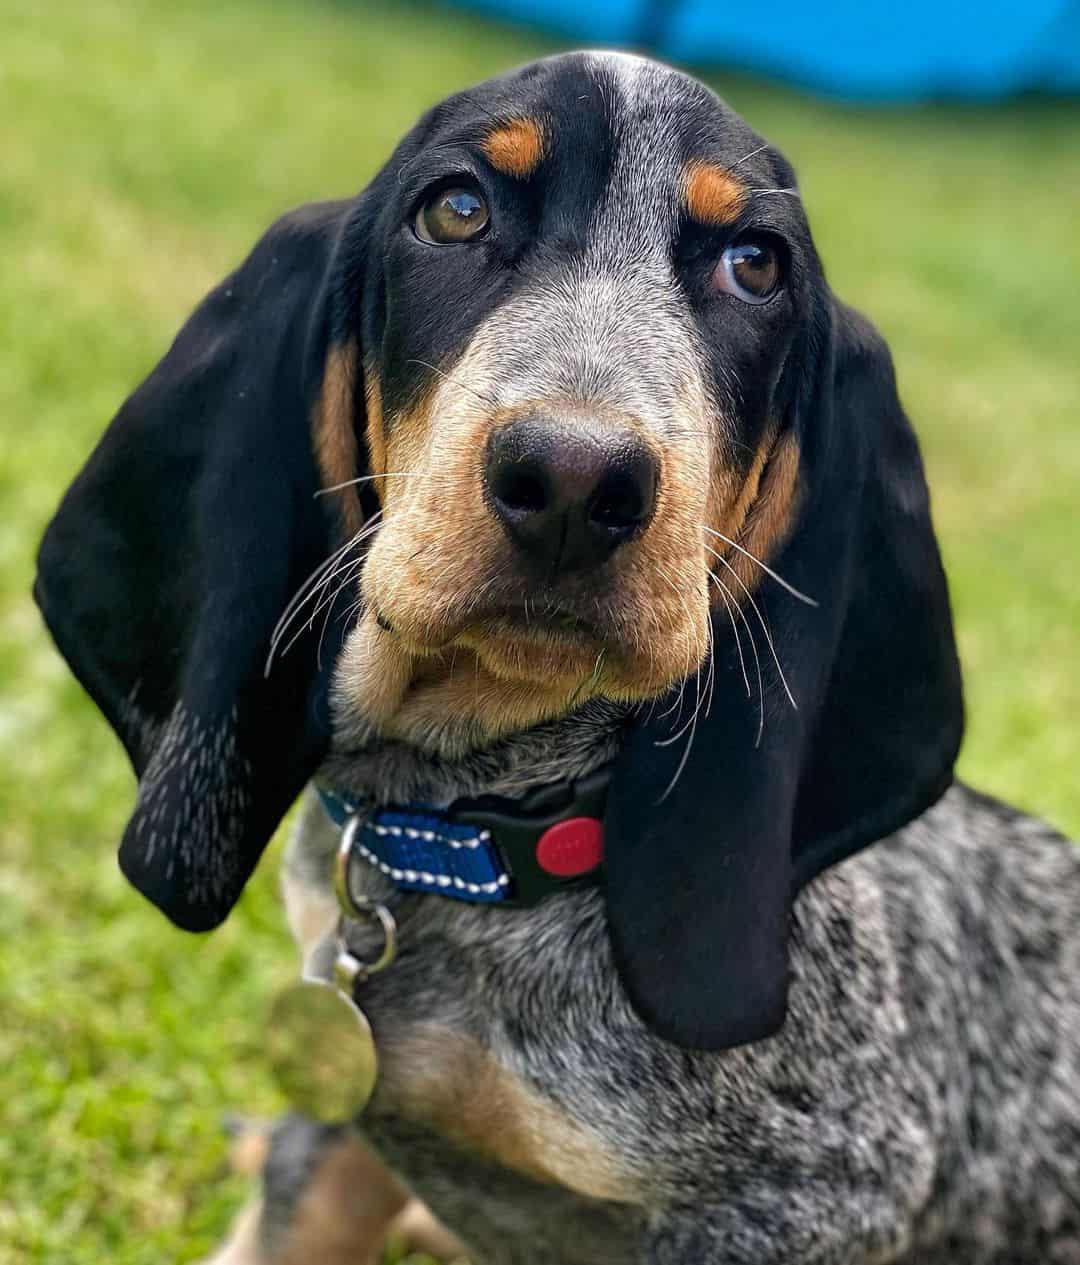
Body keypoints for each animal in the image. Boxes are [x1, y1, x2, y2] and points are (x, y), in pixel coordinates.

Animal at [35, 49, 1080, 1265]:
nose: (578, 481)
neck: (472, 834)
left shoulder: (810, 1196)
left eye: (755, 266)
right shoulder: (345, 1122)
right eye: (455, 208)